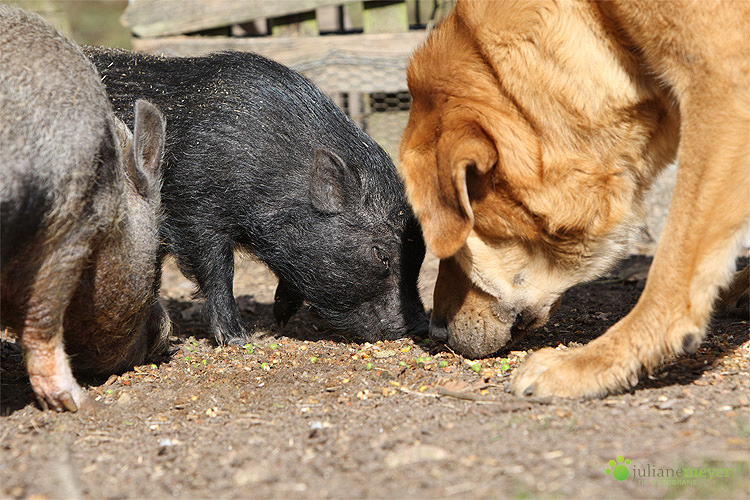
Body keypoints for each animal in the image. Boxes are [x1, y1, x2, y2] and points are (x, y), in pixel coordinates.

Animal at [83, 46, 428, 344]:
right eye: (381, 254)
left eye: (421, 254)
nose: (421, 326)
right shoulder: (194, 211)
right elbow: (218, 270)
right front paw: (237, 339)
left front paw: (280, 318)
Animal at [400, 0, 750, 398]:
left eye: (463, 244)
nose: (436, 333)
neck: (601, 22)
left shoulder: (720, 84)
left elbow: (672, 268)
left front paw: (597, 361)